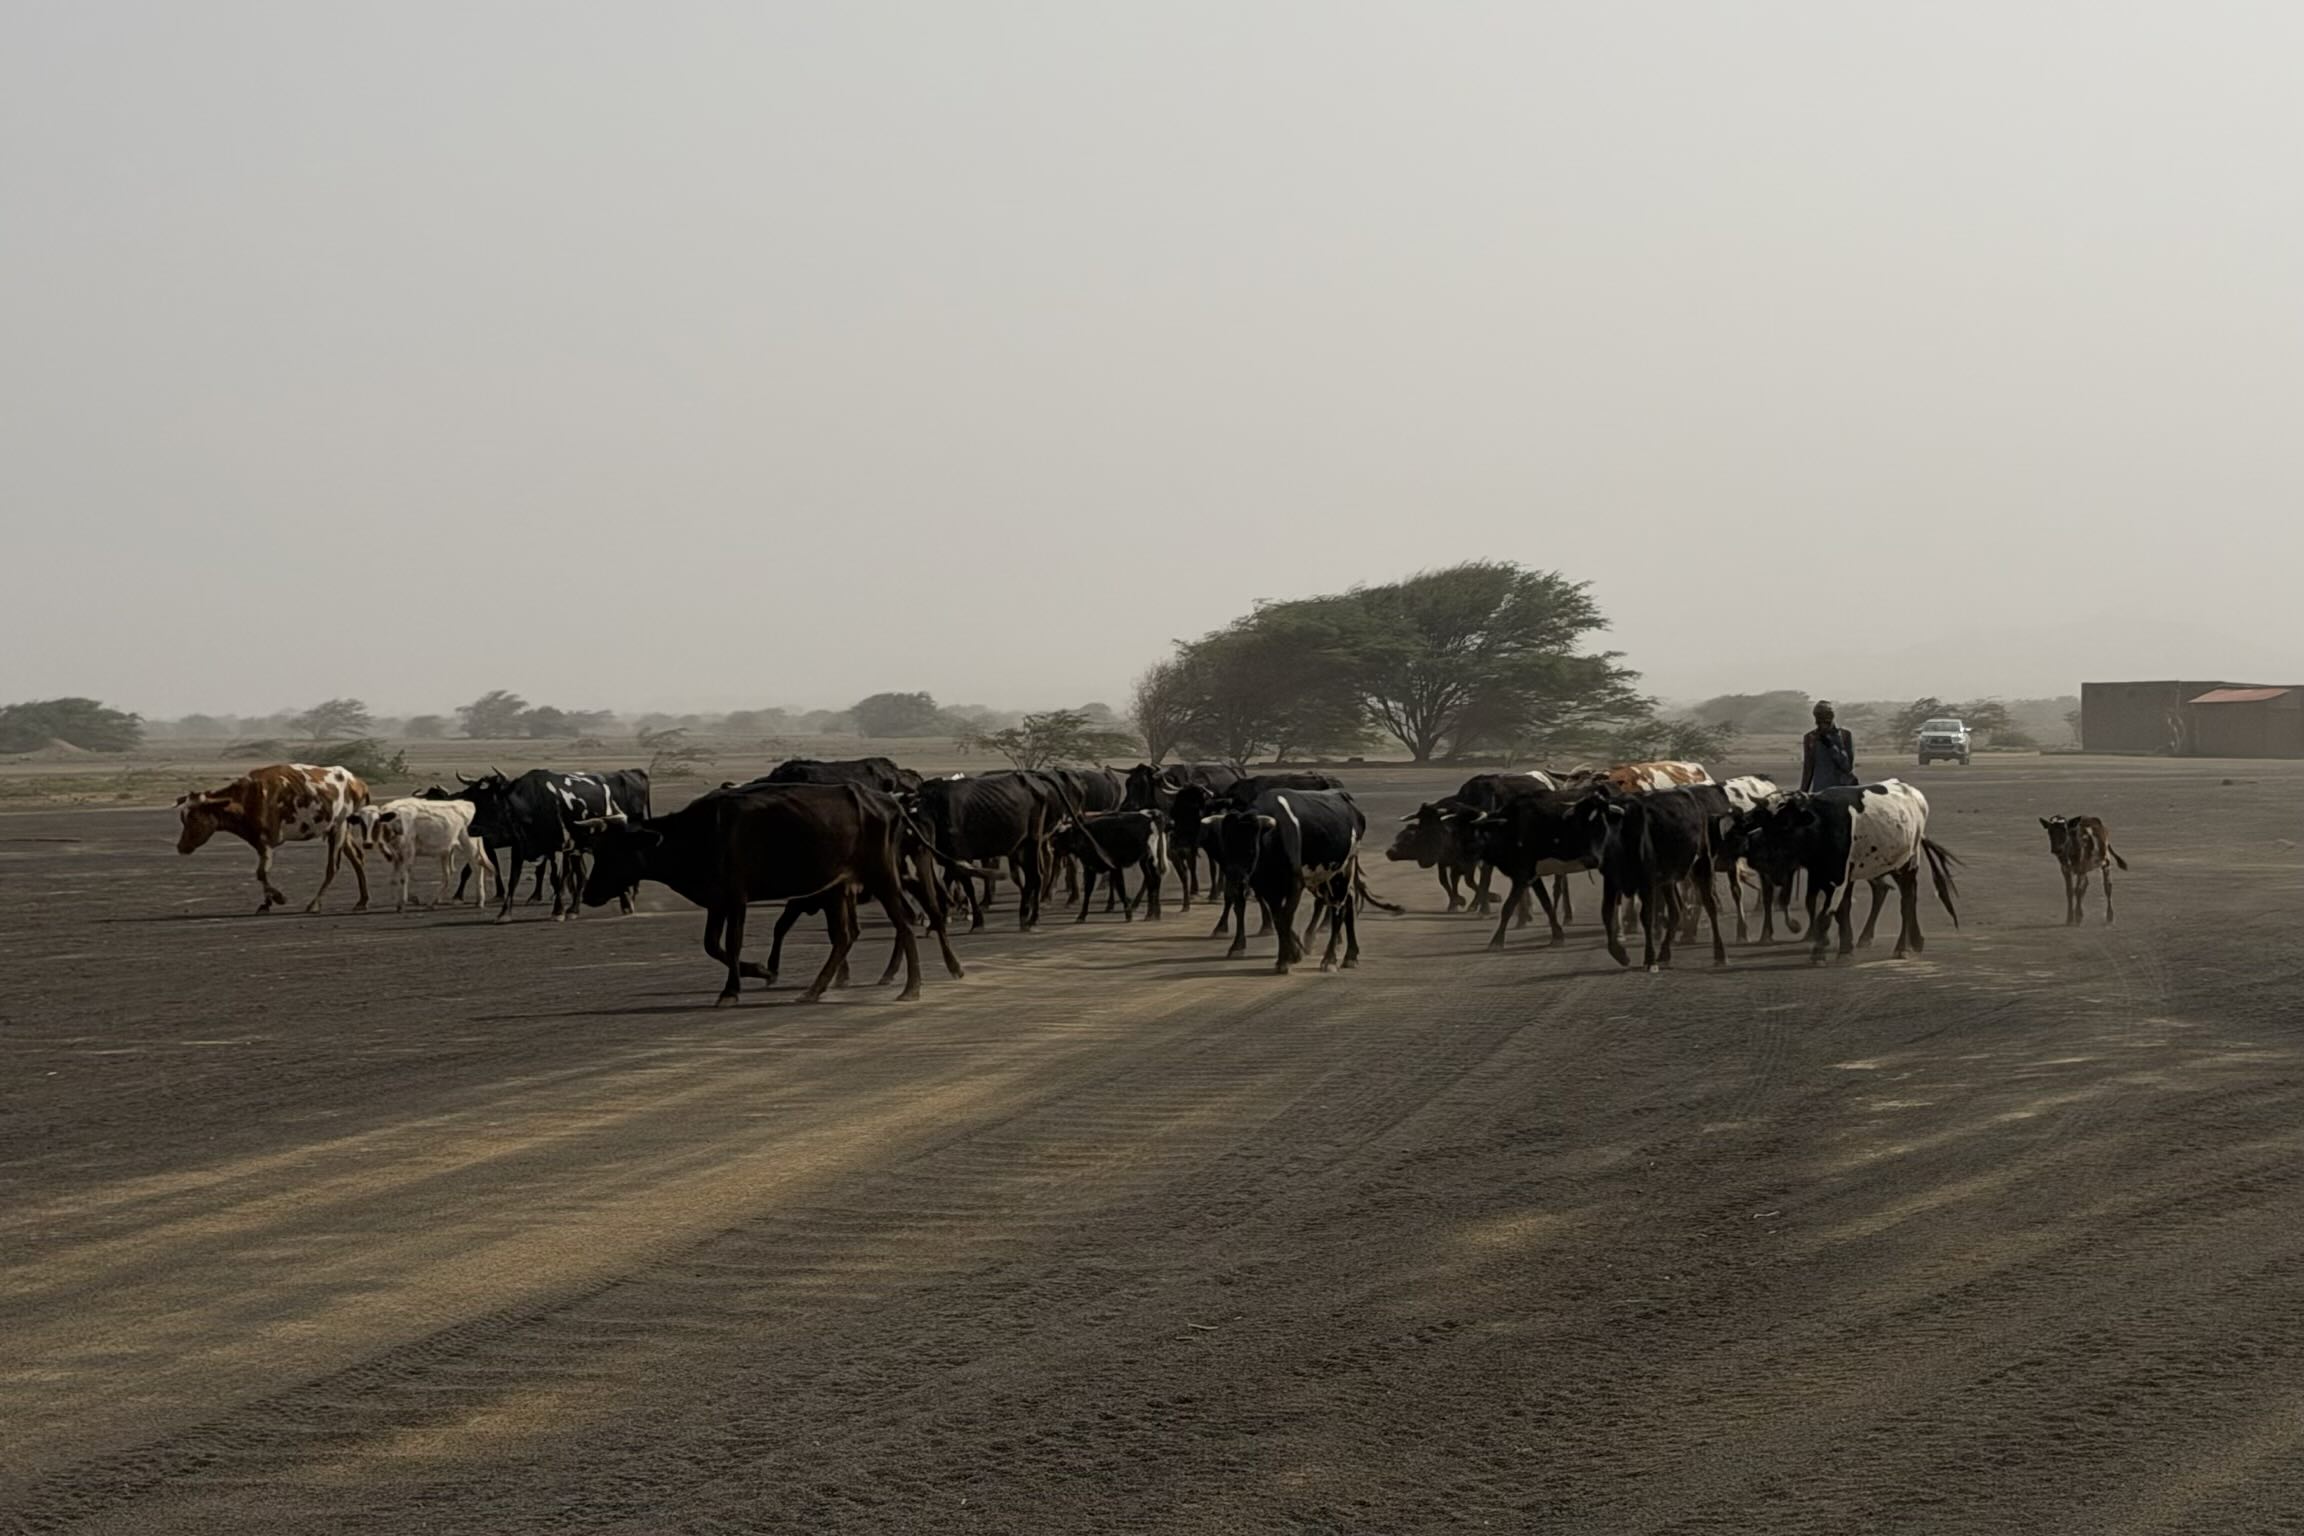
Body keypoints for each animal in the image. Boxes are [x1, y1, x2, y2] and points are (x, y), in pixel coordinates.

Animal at [174, 764, 370, 914]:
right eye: (182, 818)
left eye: (194, 819)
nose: (181, 847)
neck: (248, 799)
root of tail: (356, 781)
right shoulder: (259, 843)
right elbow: (262, 873)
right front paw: (266, 903)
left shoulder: (266, 841)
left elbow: (261, 872)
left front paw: (278, 897)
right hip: (340, 831)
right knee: (357, 858)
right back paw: (362, 901)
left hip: (339, 827)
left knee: (333, 867)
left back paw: (314, 904)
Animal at [355, 797, 495, 912]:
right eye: (361, 823)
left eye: (377, 822)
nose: (367, 844)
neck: (397, 822)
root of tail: (468, 804)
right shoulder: (397, 856)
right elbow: (393, 879)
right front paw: (405, 900)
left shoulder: (408, 853)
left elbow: (403, 877)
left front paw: (403, 903)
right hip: (446, 851)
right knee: (448, 874)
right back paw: (432, 902)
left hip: (469, 845)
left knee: (477, 868)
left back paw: (480, 901)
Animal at [577, 782, 937, 1005]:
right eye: (598, 849)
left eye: (616, 852)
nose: (588, 894)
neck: (699, 833)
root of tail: (888, 802)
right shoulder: (717, 901)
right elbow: (713, 946)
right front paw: (761, 970)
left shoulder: (737, 899)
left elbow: (732, 943)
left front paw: (731, 990)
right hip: (839, 888)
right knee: (845, 936)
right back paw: (814, 990)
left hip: (883, 879)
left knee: (903, 925)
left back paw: (911, 988)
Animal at [1203, 788, 1365, 974]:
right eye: (1225, 847)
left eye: (1251, 849)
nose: (1235, 880)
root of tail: (1343, 796)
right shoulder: (1267, 888)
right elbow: (1278, 919)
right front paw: (1291, 955)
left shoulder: (1295, 884)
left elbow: (1286, 917)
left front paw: (1286, 959)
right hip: (1322, 877)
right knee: (1347, 903)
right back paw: (1350, 955)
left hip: (1341, 872)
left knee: (1339, 910)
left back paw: (1329, 959)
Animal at [1741, 781, 1961, 964]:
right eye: (1764, 823)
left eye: (1785, 824)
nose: (1754, 851)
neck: (1821, 824)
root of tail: (1914, 793)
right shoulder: (1818, 875)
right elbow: (1828, 907)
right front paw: (1843, 948)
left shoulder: (1839, 879)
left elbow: (1827, 913)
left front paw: (1820, 953)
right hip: (1893, 864)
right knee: (1904, 896)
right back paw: (1915, 941)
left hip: (1908, 864)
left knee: (1906, 901)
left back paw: (1903, 948)